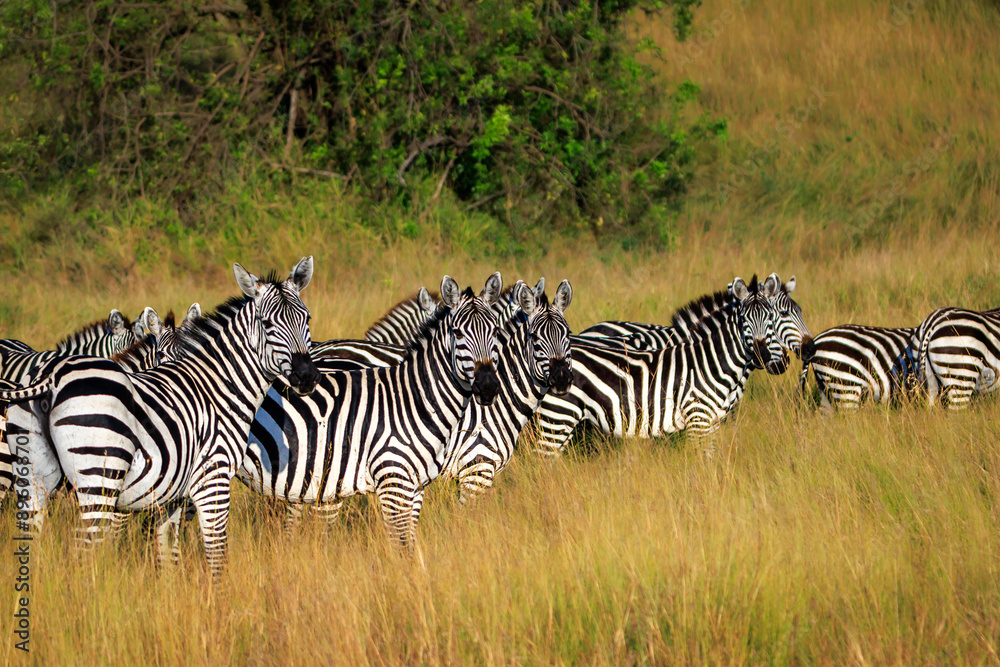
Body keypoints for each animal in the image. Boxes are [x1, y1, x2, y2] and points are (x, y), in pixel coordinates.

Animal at [0, 258, 319, 577]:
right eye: (267, 324)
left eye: (307, 319)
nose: (306, 376)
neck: (218, 388)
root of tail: (51, 375)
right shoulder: (212, 478)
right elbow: (216, 556)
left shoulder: (173, 494)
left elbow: (168, 552)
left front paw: (170, 587)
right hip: (98, 477)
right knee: (85, 549)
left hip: (36, 478)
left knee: (32, 541)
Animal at [237, 273, 503, 552]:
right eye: (458, 332)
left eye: (495, 331)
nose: (487, 386)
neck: (413, 398)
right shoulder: (396, 480)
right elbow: (402, 545)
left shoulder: (414, 486)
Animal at [535, 275, 788, 455]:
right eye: (744, 320)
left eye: (771, 319)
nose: (764, 355)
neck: (713, 361)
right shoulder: (698, 419)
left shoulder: (714, 421)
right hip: (557, 417)